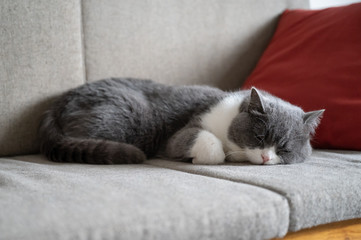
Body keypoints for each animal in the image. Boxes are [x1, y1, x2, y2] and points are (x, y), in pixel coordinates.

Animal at [37, 79, 324, 165]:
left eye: (284, 148)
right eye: (259, 137)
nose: (265, 157)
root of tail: (57, 103)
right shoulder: (182, 133)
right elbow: (211, 148)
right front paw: (198, 157)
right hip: (132, 115)